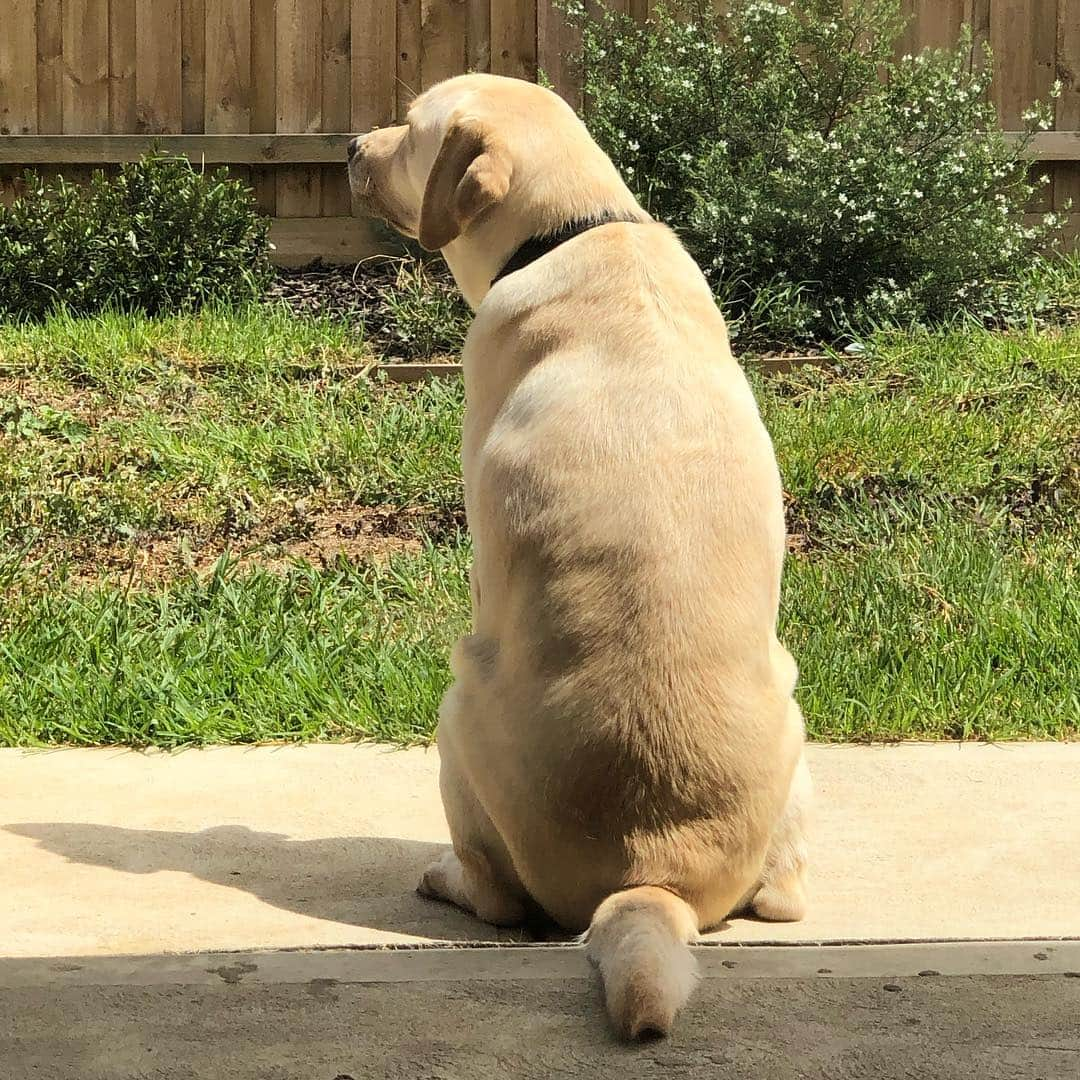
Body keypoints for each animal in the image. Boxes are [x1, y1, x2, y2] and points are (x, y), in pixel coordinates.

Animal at [345, 73, 812, 1036]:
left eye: (408, 129)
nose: (347, 147)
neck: (579, 228)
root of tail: (651, 876)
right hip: (796, 714)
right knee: (785, 897)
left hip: (456, 710)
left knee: (499, 901)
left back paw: (445, 878)